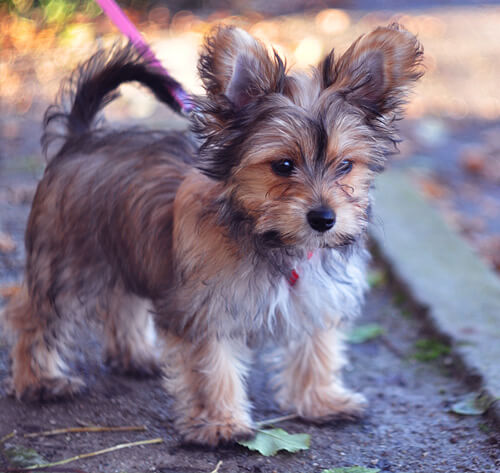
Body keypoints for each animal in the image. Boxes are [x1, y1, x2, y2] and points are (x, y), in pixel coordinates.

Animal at [0, 24, 422, 444]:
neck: (270, 238)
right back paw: (40, 380)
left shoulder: (316, 298)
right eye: (283, 165)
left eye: (346, 165)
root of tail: (81, 138)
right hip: (68, 264)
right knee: (32, 315)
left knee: (123, 301)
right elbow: (211, 368)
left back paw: (136, 356)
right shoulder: (205, 310)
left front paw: (321, 400)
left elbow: (316, 349)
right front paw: (219, 422)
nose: (323, 218)